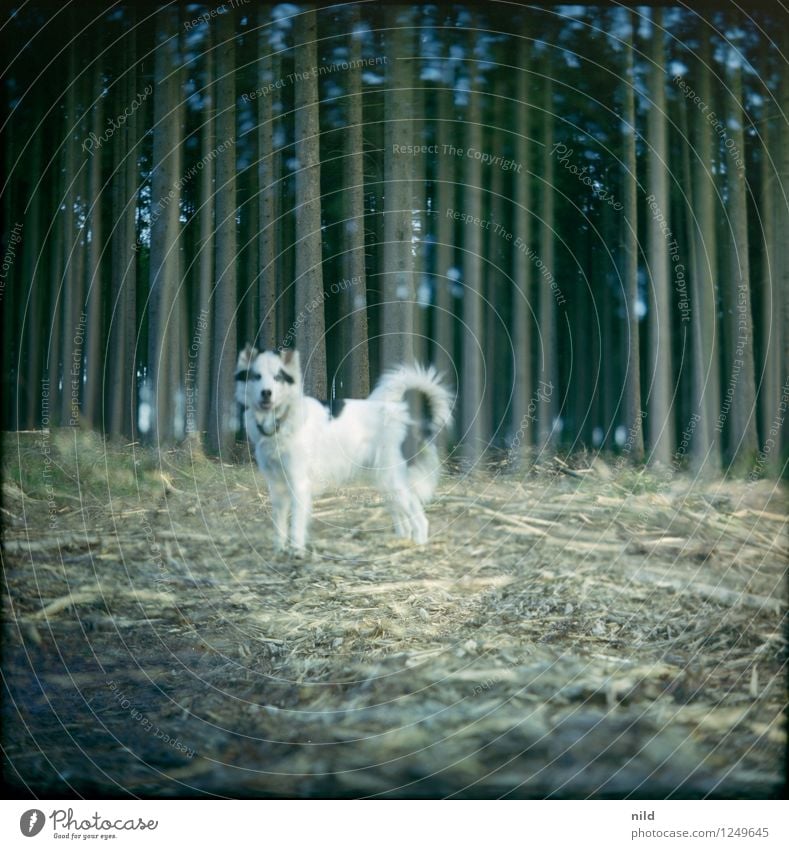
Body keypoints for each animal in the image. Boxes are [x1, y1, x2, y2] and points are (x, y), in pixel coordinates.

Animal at [234, 346, 452, 556]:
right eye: (256, 376)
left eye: (277, 377)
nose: (266, 393)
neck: (282, 418)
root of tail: (404, 415)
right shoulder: (277, 486)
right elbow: (279, 524)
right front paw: (278, 551)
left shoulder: (299, 484)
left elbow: (296, 523)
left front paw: (296, 551)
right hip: (385, 480)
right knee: (404, 520)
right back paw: (400, 543)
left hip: (393, 479)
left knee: (419, 518)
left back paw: (419, 547)